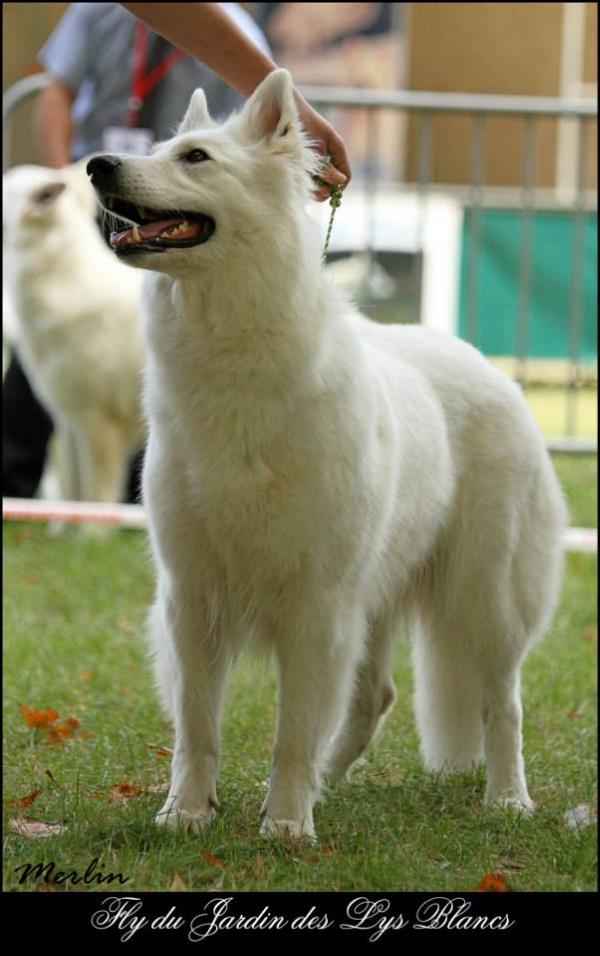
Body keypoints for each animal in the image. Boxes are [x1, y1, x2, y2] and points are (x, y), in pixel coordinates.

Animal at [88, 71, 568, 840]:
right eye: (155, 149)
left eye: (195, 158)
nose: (97, 166)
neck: (234, 364)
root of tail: (492, 371)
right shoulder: (193, 598)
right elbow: (199, 727)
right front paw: (187, 814)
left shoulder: (316, 603)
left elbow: (292, 730)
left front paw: (285, 826)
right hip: (376, 603)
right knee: (375, 699)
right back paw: (329, 785)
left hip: (484, 599)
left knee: (503, 704)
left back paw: (508, 800)